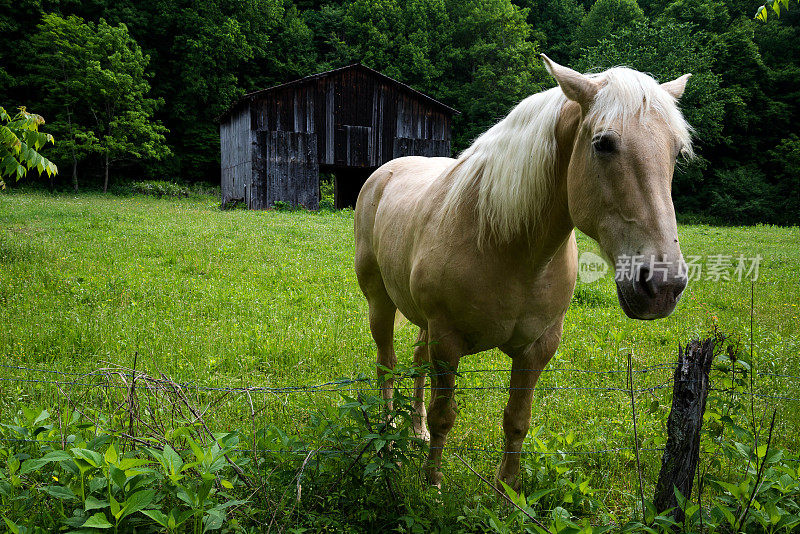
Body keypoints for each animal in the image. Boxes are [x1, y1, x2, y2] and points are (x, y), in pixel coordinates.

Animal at [354, 54, 692, 490]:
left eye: (676, 151)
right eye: (603, 143)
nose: (663, 285)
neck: (508, 247)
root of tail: (384, 172)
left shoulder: (537, 348)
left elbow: (517, 421)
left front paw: (508, 491)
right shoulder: (448, 341)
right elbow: (445, 415)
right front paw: (432, 484)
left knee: (415, 360)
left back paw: (415, 430)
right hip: (380, 303)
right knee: (388, 365)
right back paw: (388, 438)